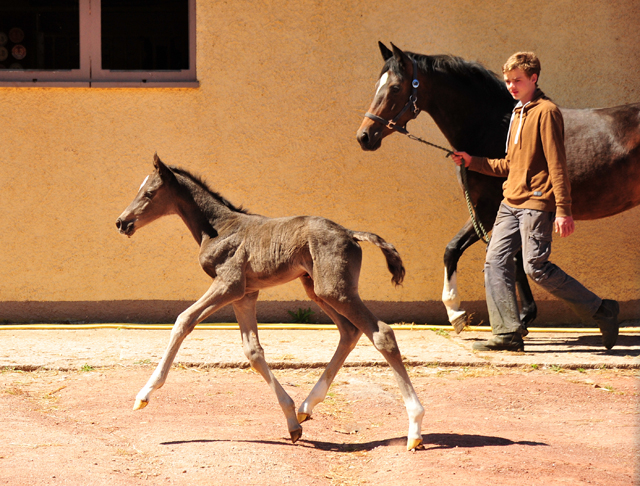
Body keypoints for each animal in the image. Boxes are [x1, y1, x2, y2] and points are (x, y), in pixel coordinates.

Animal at [115, 154, 424, 450]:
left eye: (150, 193)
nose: (121, 222)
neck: (219, 228)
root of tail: (351, 232)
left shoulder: (229, 284)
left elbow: (183, 320)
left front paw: (144, 394)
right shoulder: (245, 294)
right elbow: (253, 351)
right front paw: (292, 423)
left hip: (335, 290)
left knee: (381, 333)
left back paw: (415, 428)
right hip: (317, 289)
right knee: (349, 331)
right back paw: (306, 407)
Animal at [356, 42, 640, 330]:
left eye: (395, 87)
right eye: (378, 84)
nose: (364, 136)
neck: (493, 127)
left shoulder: (490, 207)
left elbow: (468, 251)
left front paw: (458, 312)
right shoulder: (496, 208)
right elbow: (478, 253)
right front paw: (522, 315)